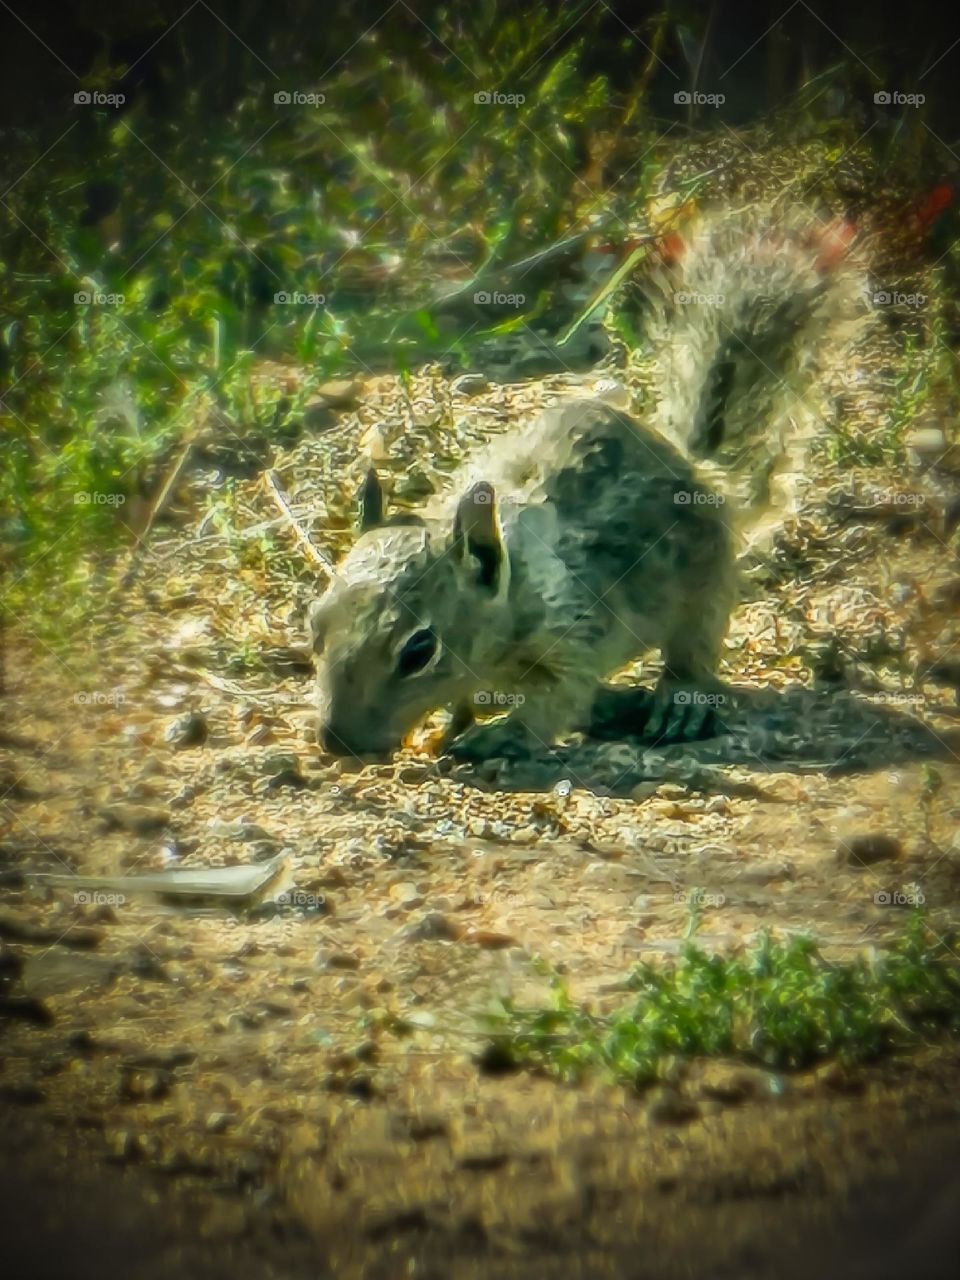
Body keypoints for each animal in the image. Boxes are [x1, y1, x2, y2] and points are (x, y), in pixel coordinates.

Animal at [308, 206, 867, 761]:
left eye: (418, 651)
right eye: (315, 625)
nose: (336, 742)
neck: (516, 586)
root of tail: (696, 467)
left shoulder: (575, 633)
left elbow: (558, 700)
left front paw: (504, 736)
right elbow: (469, 701)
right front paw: (449, 728)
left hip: (706, 589)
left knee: (694, 651)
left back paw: (679, 700)